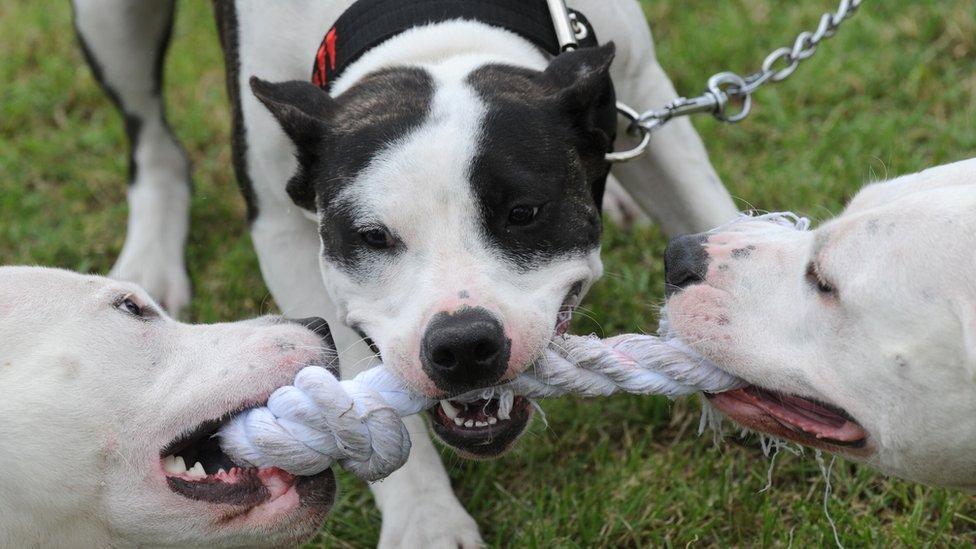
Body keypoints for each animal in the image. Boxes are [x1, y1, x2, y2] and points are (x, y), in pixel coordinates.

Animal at [70, 0, 740, 540]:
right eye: (372, 237)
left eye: (524, 213)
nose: (463, 345)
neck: (430, 29)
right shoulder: (282, 228)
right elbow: (350, 388)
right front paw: (428, 522)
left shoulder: (645, 97)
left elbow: (713, 213)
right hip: (108, 22)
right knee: (151, 139)